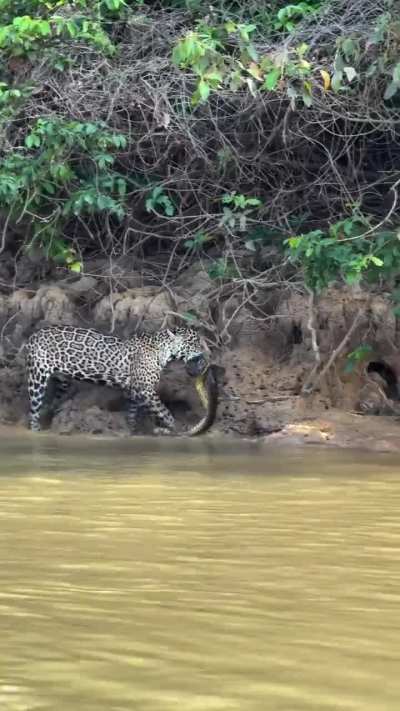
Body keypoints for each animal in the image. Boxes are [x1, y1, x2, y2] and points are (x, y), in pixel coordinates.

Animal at [26, 324, 210, 434]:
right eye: (194, 342)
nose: (204, 353)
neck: (163, 352)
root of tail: (34, 335)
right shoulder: (146, 390)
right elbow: (164, 412)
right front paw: (178, 428)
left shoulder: (133, 390)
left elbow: (132, 412)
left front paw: (132, 430)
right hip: (37, 377)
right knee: (33, 408)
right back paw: (36, 429)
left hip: (63, 380)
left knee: (52, 399)